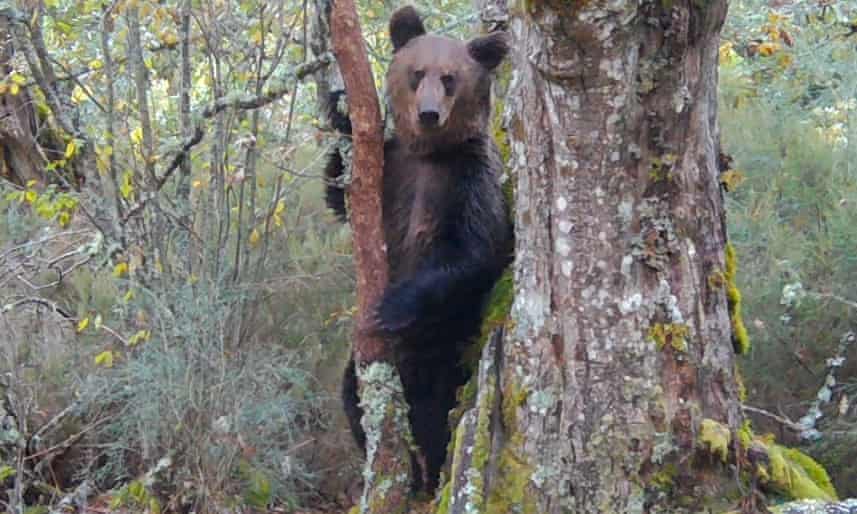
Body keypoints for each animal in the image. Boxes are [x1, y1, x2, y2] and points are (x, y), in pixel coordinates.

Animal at [324, 5, 512, 493]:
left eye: (450, 78)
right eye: (416, 73)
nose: (428, 114)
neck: (429, 154)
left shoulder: (469, 181)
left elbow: (473, 252)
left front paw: (392, 304)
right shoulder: (391, 171)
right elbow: (338, 196)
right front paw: (340, 110)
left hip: (447, 345)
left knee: (436, 412)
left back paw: (427, 477)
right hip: (368, 367)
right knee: (352, 395)